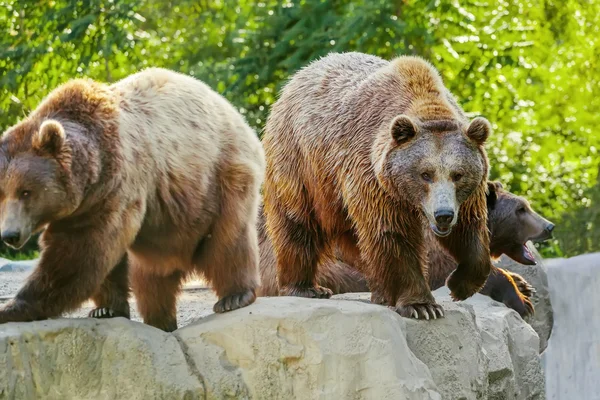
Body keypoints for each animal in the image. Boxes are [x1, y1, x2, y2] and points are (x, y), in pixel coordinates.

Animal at [0, 68, 264, 332]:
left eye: (25, 192)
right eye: (1, 194)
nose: (9, 234)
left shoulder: (114, 186)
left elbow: (80, 250)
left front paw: (13, 306)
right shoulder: (90, 202)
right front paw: (105, 309)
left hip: (221, 176)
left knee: (229, 238)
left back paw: (234, 296)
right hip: (164, 230)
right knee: (150, 277)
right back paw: (160, 319)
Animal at [262, 51, 492, 318]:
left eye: (458, 174)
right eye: (425, 174)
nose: (443, 214)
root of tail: (297, 78)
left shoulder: (468, 195)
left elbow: (470, 228)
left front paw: (459, 284)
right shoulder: (372, 175)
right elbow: (391, 233)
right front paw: (422, 306)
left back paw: (379, 290)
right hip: (301, 162)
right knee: (297, 221)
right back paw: (306, 287)